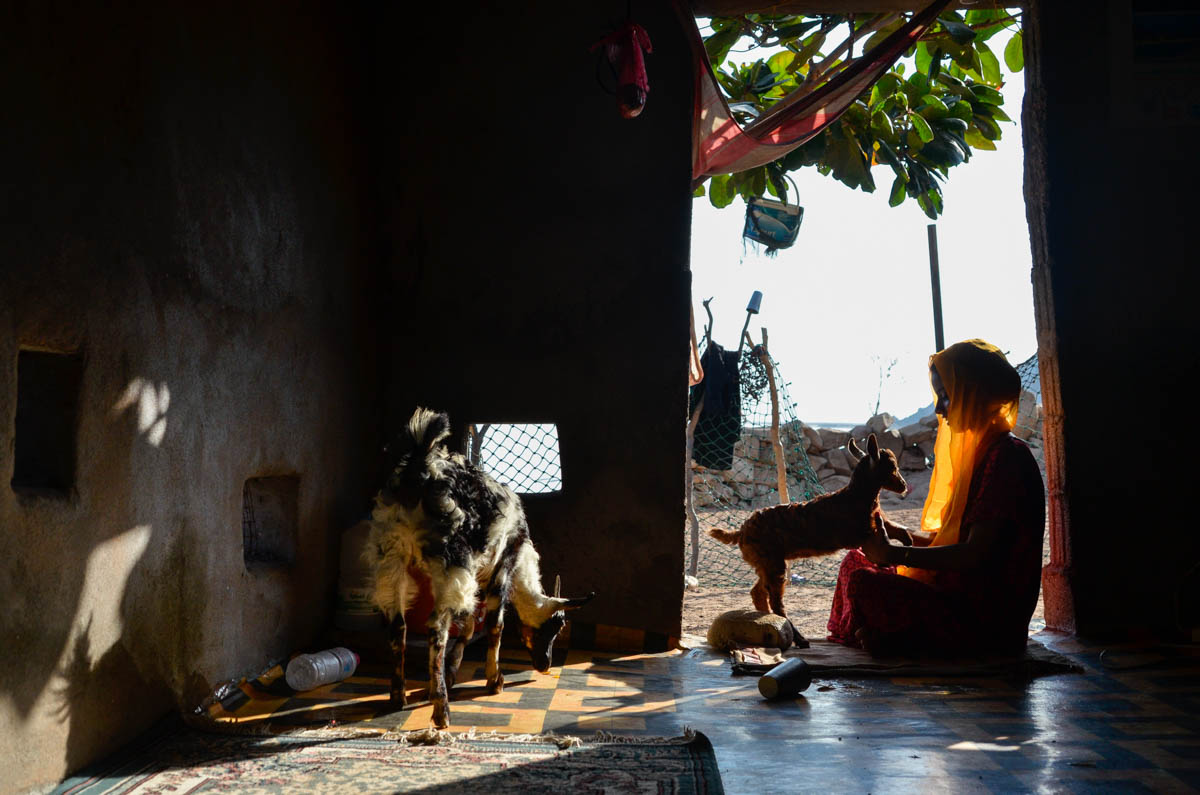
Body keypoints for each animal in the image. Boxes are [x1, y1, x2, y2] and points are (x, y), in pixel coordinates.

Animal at [362, 410, 592, 730]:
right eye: (555, 626)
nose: (545, 665)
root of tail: (420, 467)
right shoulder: (502, 566)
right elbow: (495, 625)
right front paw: (494, 680)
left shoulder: (477, 578)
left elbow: (469, 624)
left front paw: (452, 671)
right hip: (451, 560)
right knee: (436, 627)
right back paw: (441, 709)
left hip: (391, 557)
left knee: (398, 626)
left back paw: (398, 696)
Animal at [710, 432, 907, 638]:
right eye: (892, 468)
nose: (903, 486)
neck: (858, 497)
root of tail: (741, 531)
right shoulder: (863, 533)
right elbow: (882, 541)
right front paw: (886, 560)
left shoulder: (878, 521)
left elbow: (899, 529)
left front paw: (907, 543)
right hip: (772, 563)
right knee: (775, 601)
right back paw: (796, 636)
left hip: (764, 563)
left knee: (758, 593)